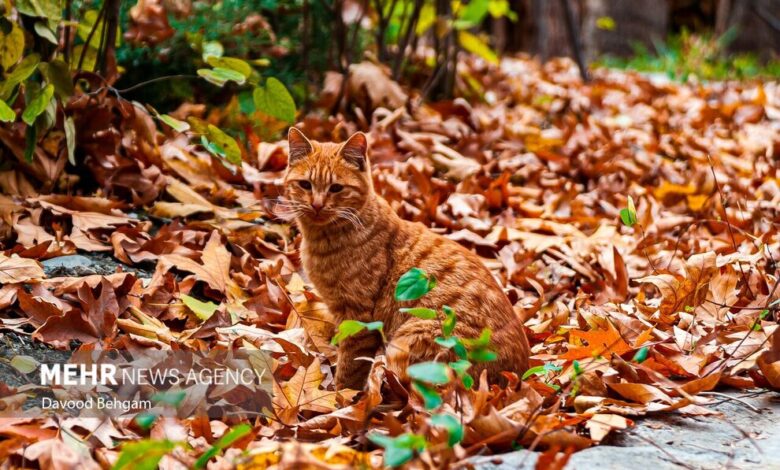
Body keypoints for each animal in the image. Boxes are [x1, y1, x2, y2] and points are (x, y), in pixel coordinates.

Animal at [284, 126, 532, 388]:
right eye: (305, 185)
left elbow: (349, 369)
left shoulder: (358, 318)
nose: (317, 204)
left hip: (406, 342)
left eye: (336, 188)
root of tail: (517, 376)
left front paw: (340, 395)